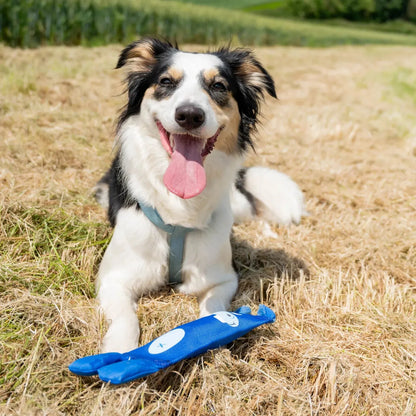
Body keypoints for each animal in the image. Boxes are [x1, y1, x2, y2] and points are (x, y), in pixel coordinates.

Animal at [96, 37, 308, 352]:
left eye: (218, 86)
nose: (189, 115)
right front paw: (119, 350)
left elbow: (215, 309)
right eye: (166, 82)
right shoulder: (113, 278)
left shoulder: (224, 278)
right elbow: (126, 318)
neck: (179, 207)